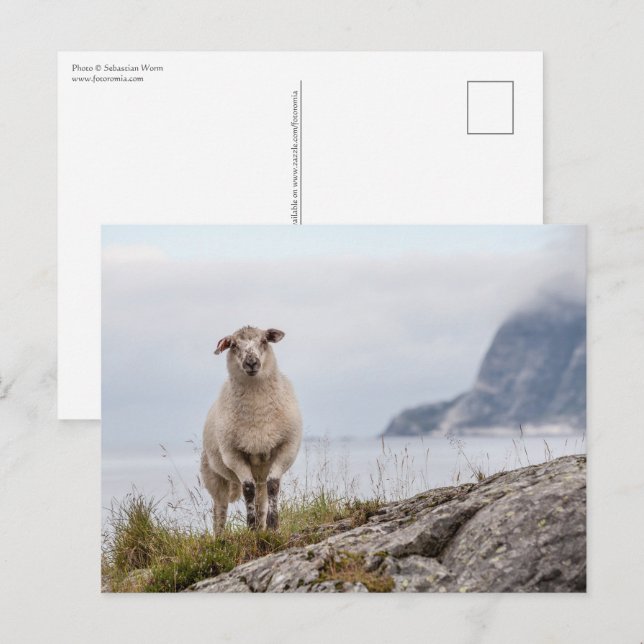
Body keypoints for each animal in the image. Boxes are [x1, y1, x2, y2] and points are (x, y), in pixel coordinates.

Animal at [201, 325, 302, 534]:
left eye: (264, 341)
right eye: (233, 345)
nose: (252, 363)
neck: (258, 414)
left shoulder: (287, 448)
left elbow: (273, 486)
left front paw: (273, 526)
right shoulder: (232, 454)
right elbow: (248, 490)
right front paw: (251, 528)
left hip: (260, 473)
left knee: (261, 498)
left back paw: (263, 526)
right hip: (214, 476)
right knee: (220, 509)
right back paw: (220, 536)